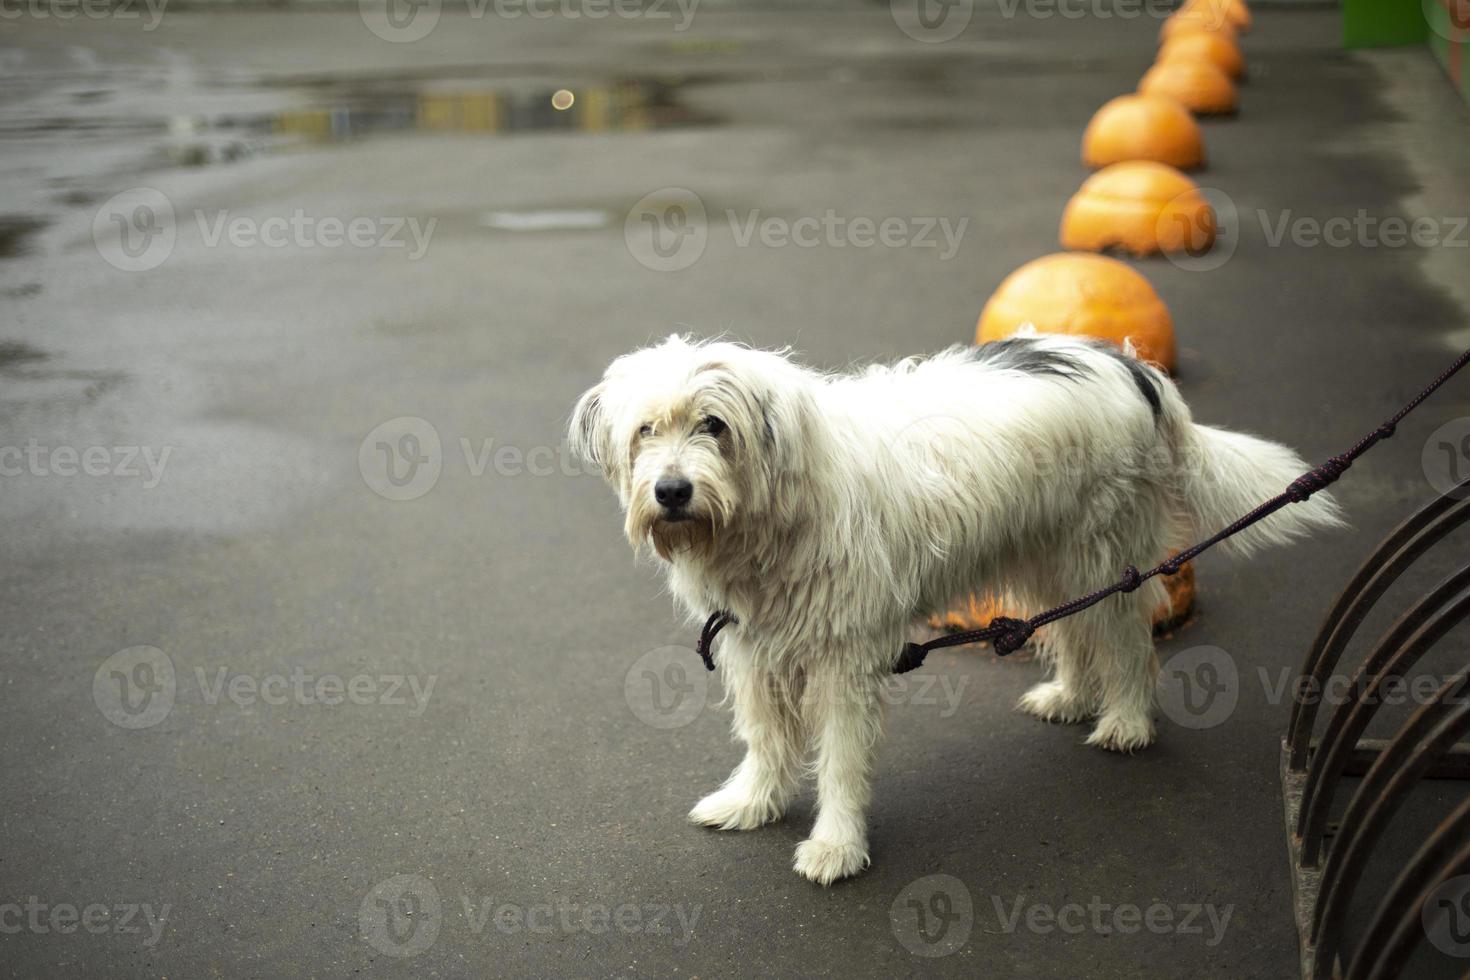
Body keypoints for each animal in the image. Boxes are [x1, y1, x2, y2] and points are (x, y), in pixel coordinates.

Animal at [570, 333, 1346, 887]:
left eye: (713, 425)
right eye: (645, 431)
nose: (671, 492)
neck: (774, 517)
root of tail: (1132, 368)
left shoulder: (845, 659)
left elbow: (841, 759)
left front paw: (835, 844)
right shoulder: (753, 644)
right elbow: (766, 737)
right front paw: (753, 803)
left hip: (1098, 548)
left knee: (1123, 636)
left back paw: (1126, 721)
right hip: (1043, 555)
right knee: (1070, 627)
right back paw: (1069, 696)